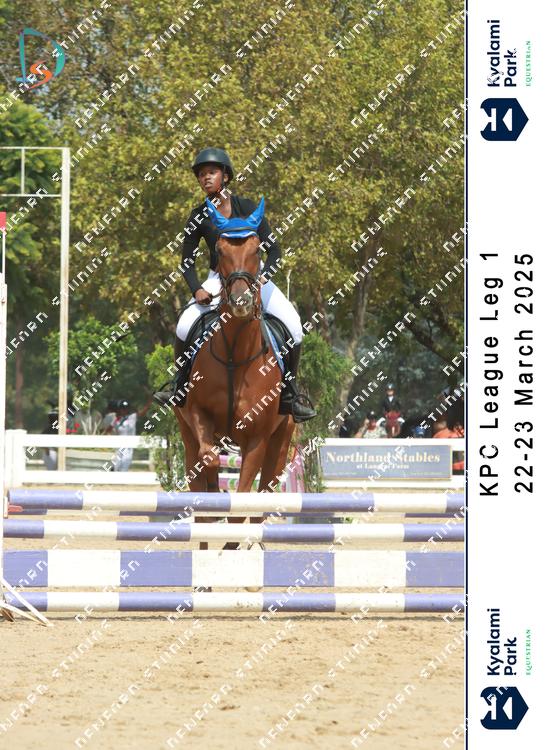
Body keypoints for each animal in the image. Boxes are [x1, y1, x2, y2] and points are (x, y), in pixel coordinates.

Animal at [173, 197, 296, 549]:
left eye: (257, 249)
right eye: (221, 250)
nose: (241, 301)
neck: (236, 357)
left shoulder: (257, 440)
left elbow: (242, 506)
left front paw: (233, 544)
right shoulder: (199, 418)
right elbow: (210, 462)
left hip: (281, 441)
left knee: (264, 493)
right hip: (187, 435)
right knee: (199, 479)